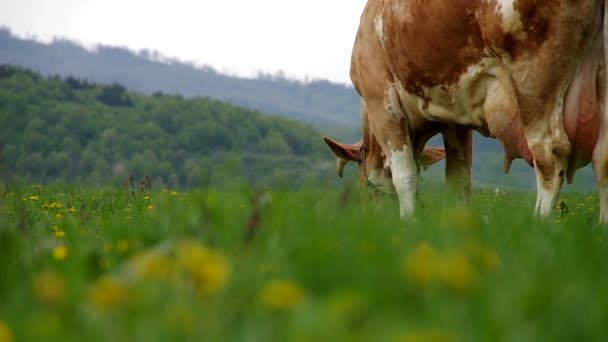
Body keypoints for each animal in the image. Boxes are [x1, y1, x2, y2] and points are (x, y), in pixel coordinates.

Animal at [324, 0, 608, 222]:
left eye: (364, 186)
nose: (371, 219)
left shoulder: (380, 99)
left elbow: (404, 176)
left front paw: (407, 223)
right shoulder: (456, 124)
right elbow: (459, 182)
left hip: (534, 79)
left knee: (550, 156)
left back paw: (540, 223)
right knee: (602, 158)